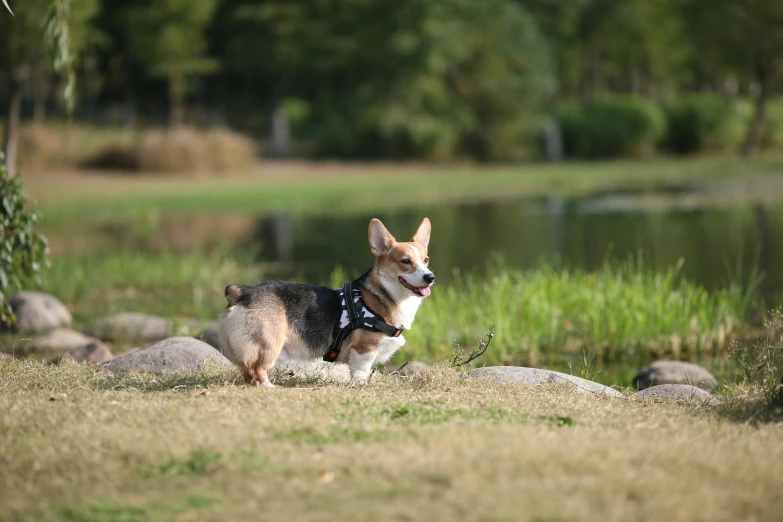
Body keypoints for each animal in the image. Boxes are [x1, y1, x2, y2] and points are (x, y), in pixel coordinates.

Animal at [219, 216, 434, 386]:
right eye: (405, 261)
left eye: (426, 260)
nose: (430, 277)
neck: (386, 295)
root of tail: (242, 291)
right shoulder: (364, 349)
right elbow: (361, 371)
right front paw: (362, 385)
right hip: (268, 343)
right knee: (255, 371)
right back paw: (270, 388)